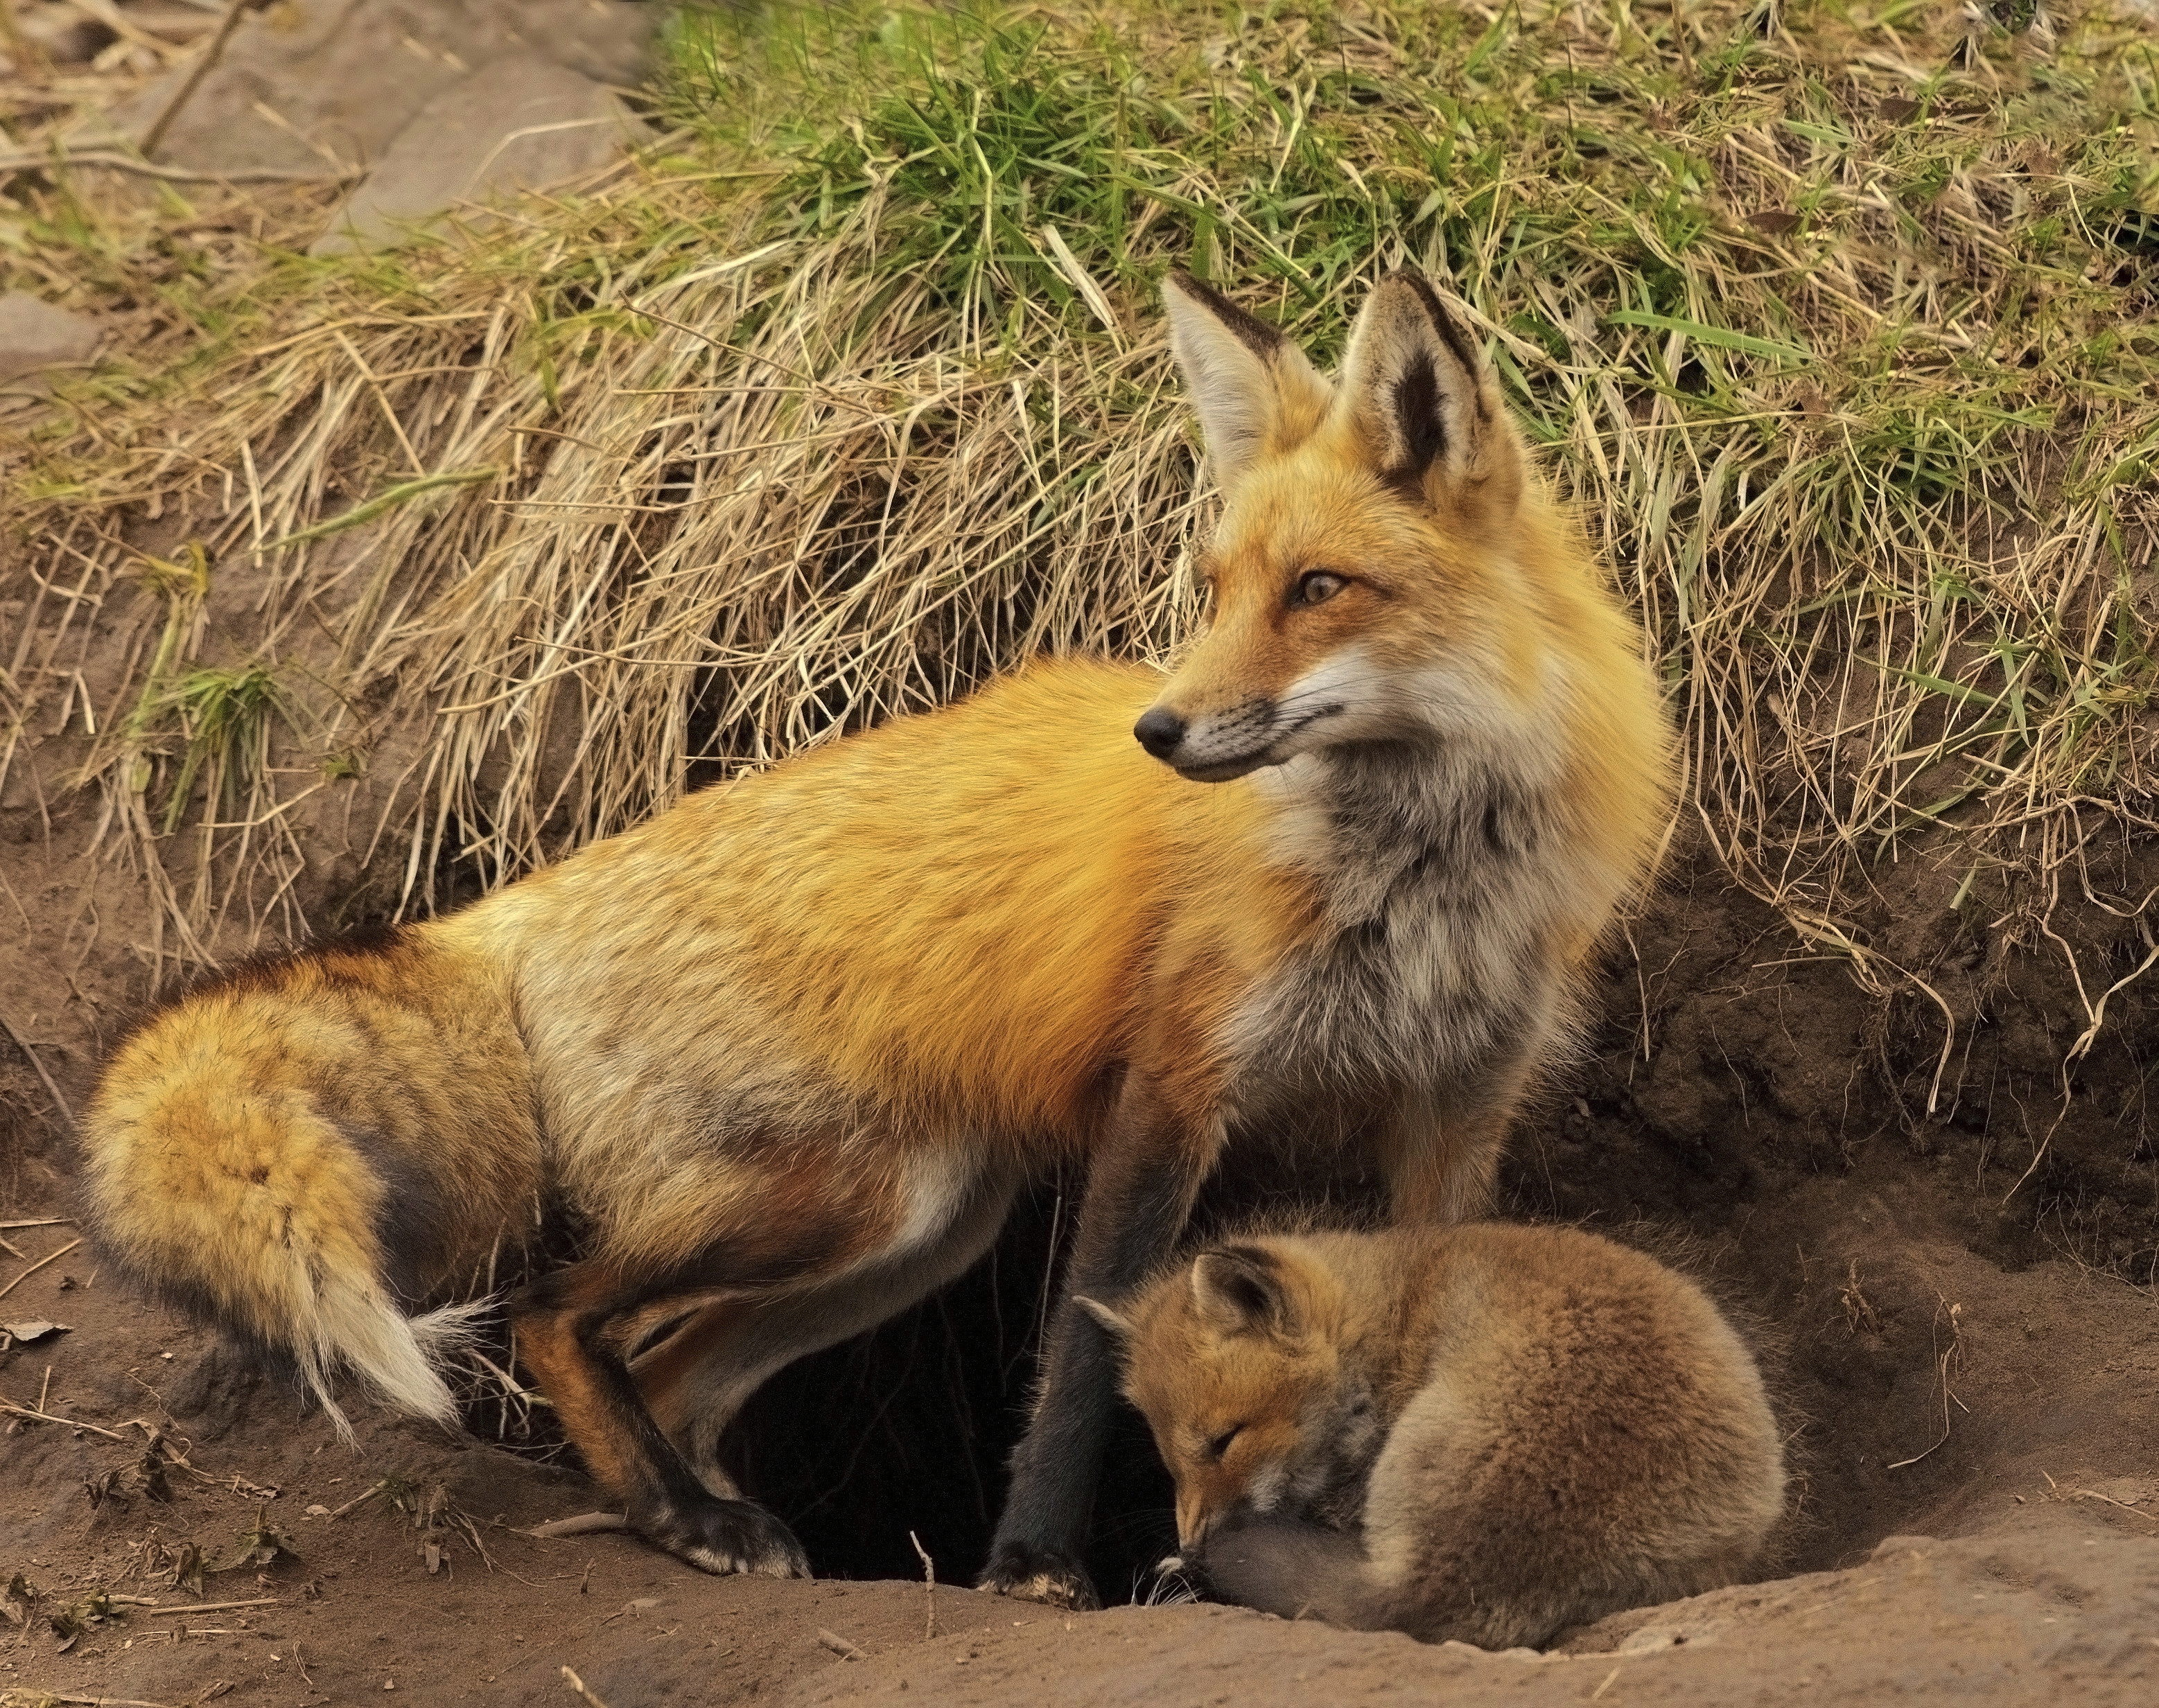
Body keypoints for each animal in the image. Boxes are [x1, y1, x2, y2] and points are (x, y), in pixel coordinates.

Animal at [80, 267, 1666, 1606]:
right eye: (1216, 590)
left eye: (1321, 589)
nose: (1158, 732)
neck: (1413, 881)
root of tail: (512, 903)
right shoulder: (1172, 1086)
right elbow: (1085, 1351)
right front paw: (1033, 1566)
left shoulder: (1456, 1106)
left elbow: (1413, 1310)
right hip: (854, 1195)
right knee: (550, 1313)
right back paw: (688, 1515)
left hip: (913, 1228)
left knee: (672, 1371)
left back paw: (702, 1515)